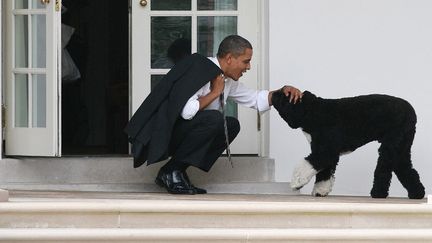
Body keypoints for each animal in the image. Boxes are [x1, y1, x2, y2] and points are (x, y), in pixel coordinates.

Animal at [274, 90, 426, 198]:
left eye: (283, 96)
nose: (273, 93)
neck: (312, 110)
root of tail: (412, 113)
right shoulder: (328, 153)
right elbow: (324, 174)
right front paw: (320, 191)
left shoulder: (325, 151)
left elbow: (307, 164)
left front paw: (296, 183)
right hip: (402, 146)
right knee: (405, 168)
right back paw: (417, 194)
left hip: (391, 145)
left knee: (384, 169)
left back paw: (378, 193)